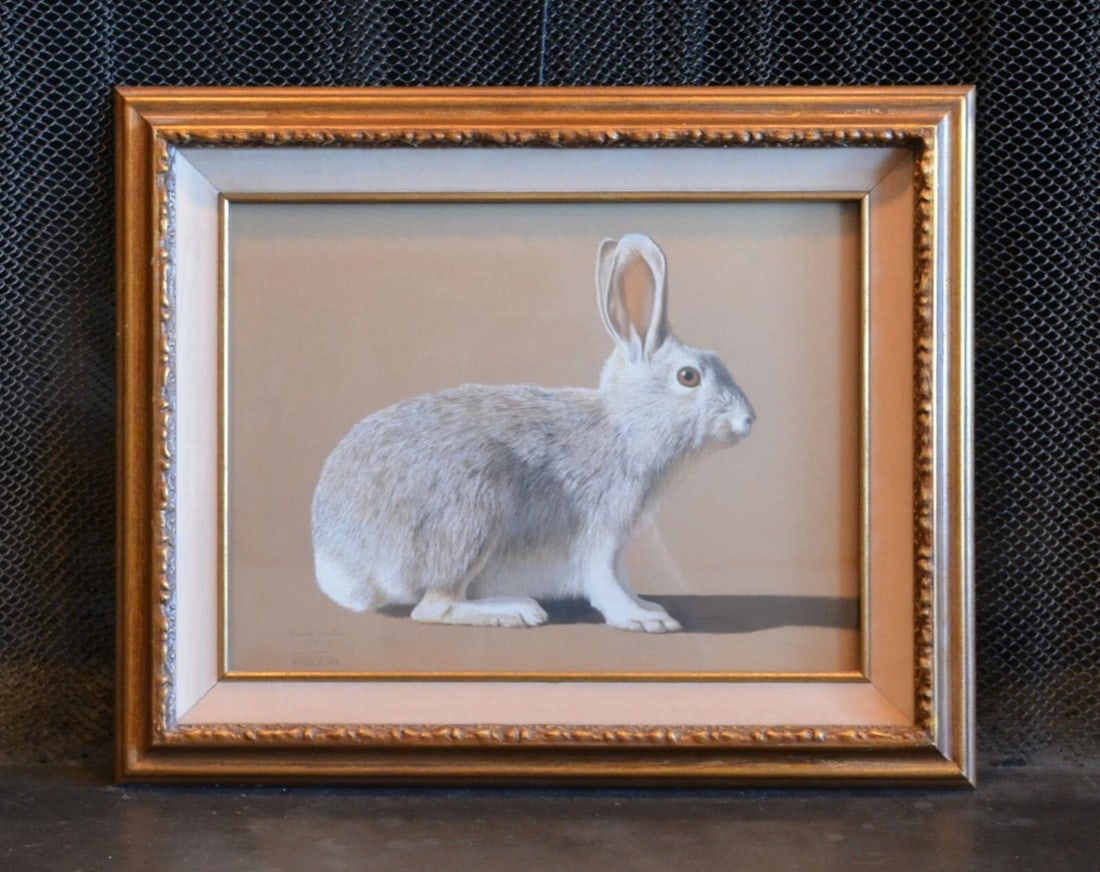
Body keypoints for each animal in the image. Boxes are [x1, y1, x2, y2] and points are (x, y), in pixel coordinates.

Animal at [310, 234, 755, 633]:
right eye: (688, 376)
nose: (748, 419)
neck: (625, 426)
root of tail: (337, 558)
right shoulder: (600, 533)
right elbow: (605, 583)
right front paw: (645, 619)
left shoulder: (618, 546)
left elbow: (623, 580)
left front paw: (648, 606)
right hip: (467, 517)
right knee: (434, 607)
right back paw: (515, 610)